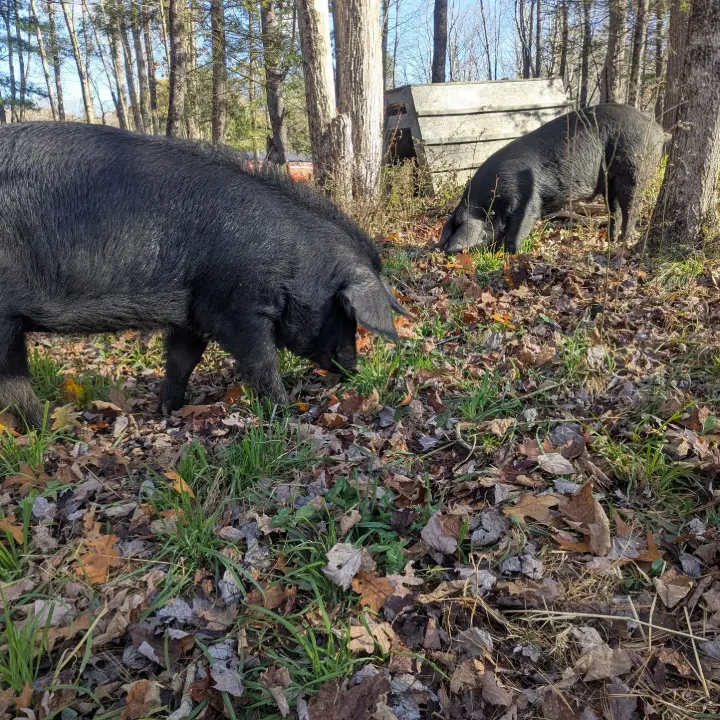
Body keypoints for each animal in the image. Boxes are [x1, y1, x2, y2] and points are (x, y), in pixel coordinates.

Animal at [0, 122, 408, 427]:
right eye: (343, 310)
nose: (353, 367)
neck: (292, 266)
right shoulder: (239, 309)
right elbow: (261, 364)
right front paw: (287, 415)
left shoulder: (191, 310)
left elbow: (182, 359)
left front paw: (170, 410)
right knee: (13, 384)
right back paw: (52, 427)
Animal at [438, 103, 665, 254]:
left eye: (460, 227)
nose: (449, 250)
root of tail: (660, 131)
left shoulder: (529, 199)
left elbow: (518, 229)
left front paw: (507, 254)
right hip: (611, 182)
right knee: (614, 210)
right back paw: (610, 240)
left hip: (634, 171)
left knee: (631, 208)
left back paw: (624, 242)